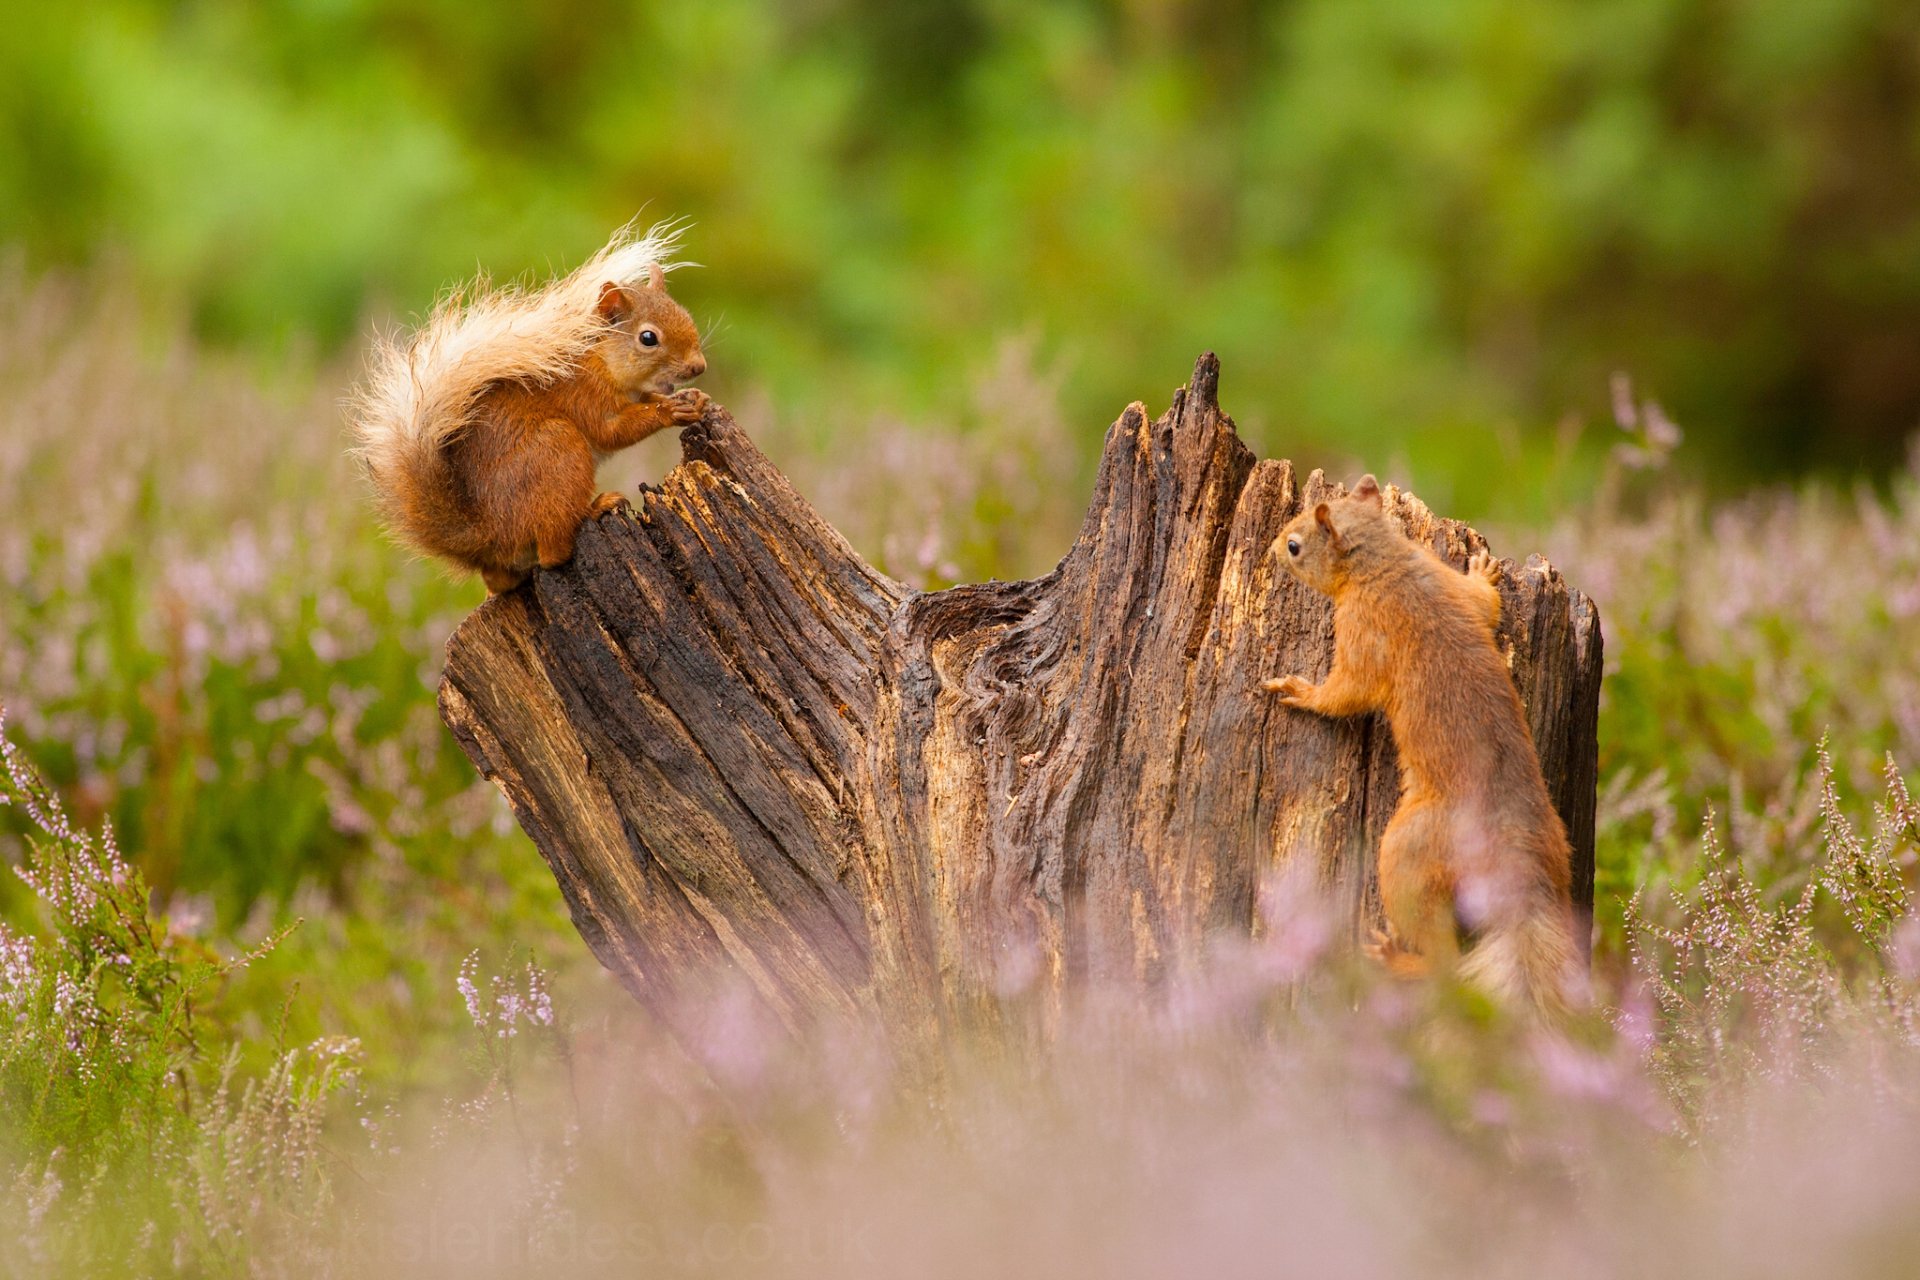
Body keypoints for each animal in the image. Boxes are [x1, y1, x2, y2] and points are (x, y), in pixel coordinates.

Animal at [350, 221, 710, 593]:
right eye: (648, 338)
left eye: (685, 314)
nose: (698, 366)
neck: (601, 359)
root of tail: (487, 539)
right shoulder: (583, 394)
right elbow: (611, 431)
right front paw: (670, 411)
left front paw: (693, 400)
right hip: (556, 448)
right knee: (552, 554)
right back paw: (596, 509)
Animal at [1261, 474, 1582, 1016]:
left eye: (1295, 546)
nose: (1271, 549)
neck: (1385, 564)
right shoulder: (1447, 584)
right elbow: (1481, 605)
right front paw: (1483, 571)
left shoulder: (1363, 630)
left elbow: (1348, 691)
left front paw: (1302, 692)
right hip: (1560, 858)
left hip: (1407, 855)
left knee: (1444, 963)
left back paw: (1397, 960)